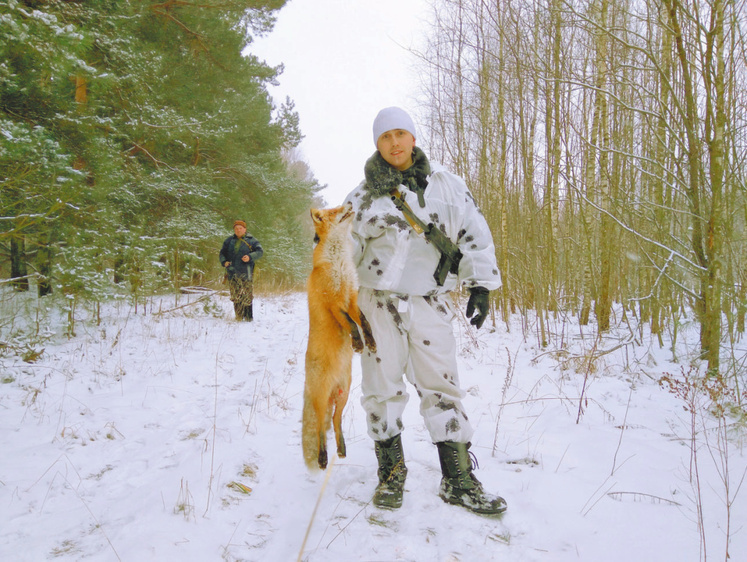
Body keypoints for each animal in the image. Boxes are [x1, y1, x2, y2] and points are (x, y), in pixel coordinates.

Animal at [302, 201, 376, 468]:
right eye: (334, 211)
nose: (350, 203)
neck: (339, 264)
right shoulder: (334, 302)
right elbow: (351, 325)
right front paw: (357, 343)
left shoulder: (352, 297)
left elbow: (364, 322)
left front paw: (370, 342)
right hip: (322, 398)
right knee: (320, 429)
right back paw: (323, 457)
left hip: (344, 395)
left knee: (336, 420)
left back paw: (342, 448)